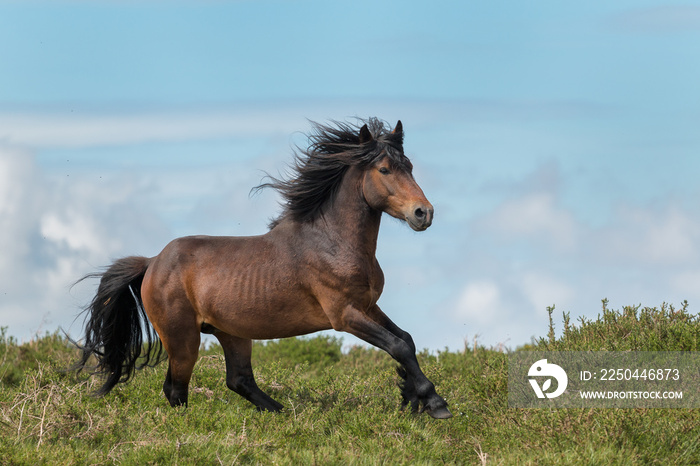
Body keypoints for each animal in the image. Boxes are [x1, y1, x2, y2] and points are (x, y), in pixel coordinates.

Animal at [72, 118, 454, 420]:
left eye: (410, 166)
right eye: (384, 169)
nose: (424, 213)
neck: (332, 241)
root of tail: (152, 263)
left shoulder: (369, 306)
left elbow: (406, 340)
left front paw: (411, 397)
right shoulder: (344, 314)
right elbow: (398, 345)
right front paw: (434, 403)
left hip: (233, 333)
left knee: (239, 380)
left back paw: (282, 413)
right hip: (183, 338)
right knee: (176, 389)